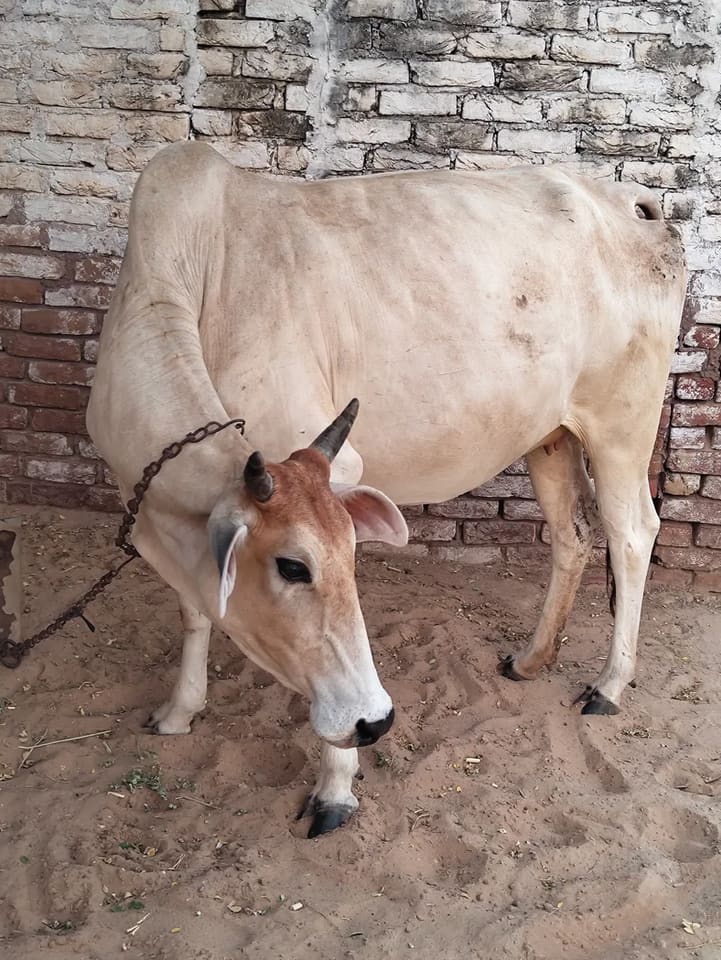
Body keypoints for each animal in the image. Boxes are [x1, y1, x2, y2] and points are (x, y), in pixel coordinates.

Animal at [86, 142, 687, 837]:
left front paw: (336, 785)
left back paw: (609, 685)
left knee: (632, 532)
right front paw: (180, 709)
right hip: (551, 435)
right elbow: (195, 607)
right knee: (574, 535)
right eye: (290, 568)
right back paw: (532, 659)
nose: (374, 722)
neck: (186, 271)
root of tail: (632, 200)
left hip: (622, 423)